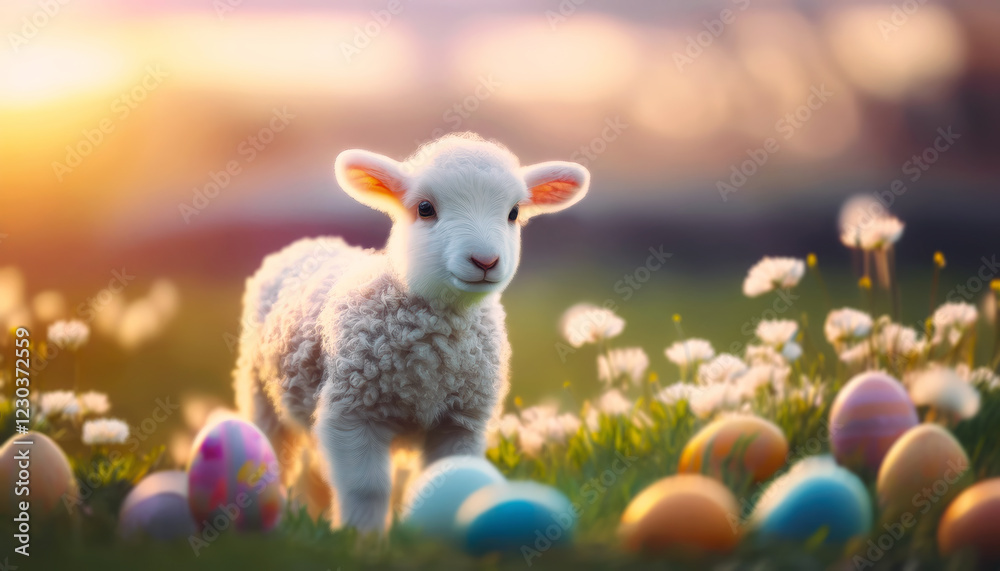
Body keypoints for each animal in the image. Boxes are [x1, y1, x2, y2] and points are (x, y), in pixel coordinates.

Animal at [233, 132, 590, 532]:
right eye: (425, 208)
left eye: (513, 213)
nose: (485, 260)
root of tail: (311, 241)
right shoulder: (351, 411)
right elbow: (366, 489)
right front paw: (363, 537)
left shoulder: (462, 421)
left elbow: (448, 479)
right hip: (259, 389)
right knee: (274, 452)